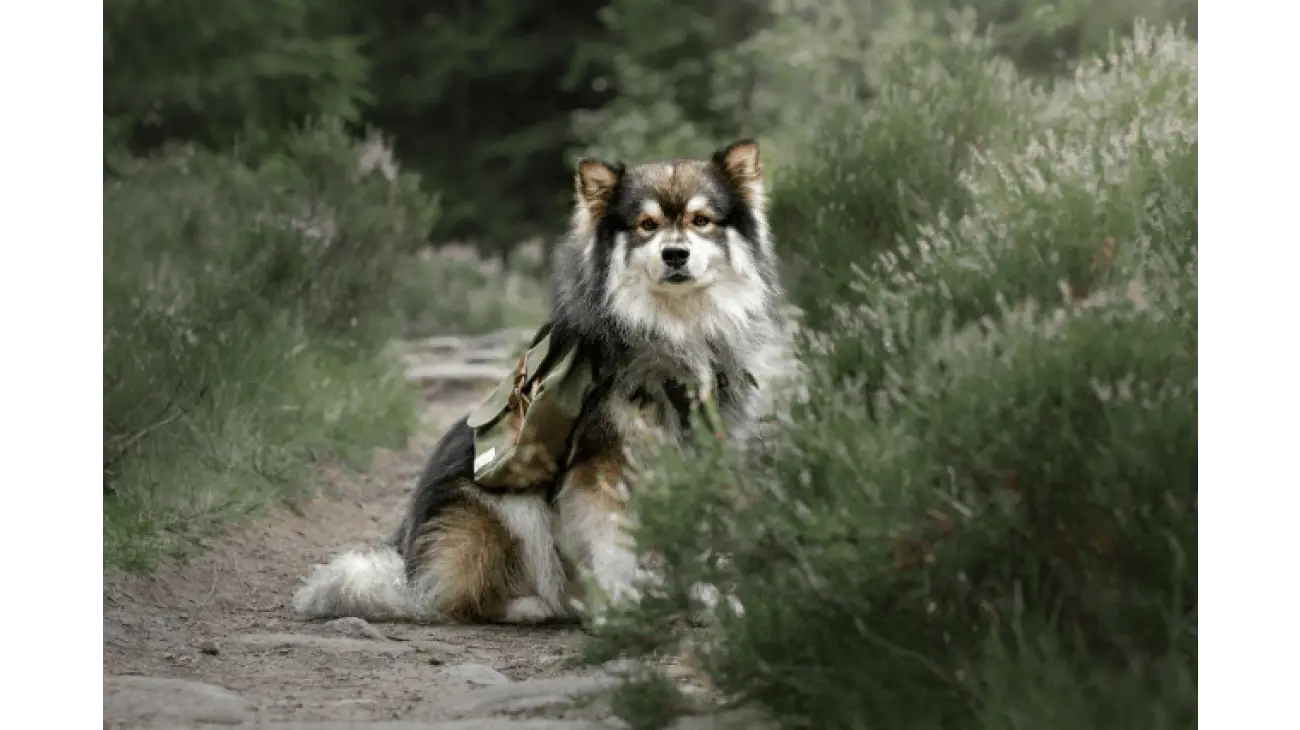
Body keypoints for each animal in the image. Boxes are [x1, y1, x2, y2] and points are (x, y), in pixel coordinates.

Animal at [292, 138, 790, 623]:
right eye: (646, 225)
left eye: (701, 220)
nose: (675, 254)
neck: (674, 329)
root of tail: (408, 568)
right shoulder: (603, 468)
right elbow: (616, 549)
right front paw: (624, 610)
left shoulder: (706, 453)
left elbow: (702, 539)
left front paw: (709, 601)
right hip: (510, 508)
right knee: (462, 599)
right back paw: (539, 606)